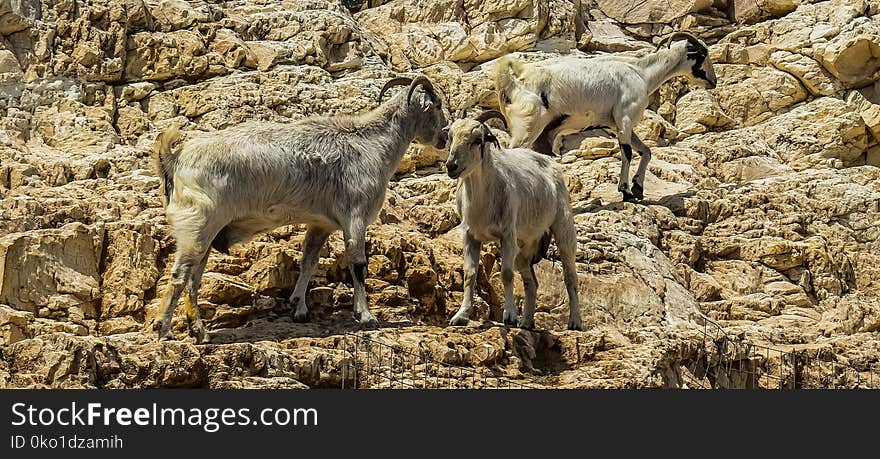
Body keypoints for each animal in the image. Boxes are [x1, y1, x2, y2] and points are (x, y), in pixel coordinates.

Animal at [150, 76, 446, 342]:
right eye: (438, 105)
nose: (444, 138)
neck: (371, 144)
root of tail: (175, 158)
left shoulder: (321, 224)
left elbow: (309, 261)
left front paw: (299, 308)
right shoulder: (355, 216)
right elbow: (358, 265)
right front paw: (366, 316)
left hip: (207, 233)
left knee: (194, 278)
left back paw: (197, 331)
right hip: (197, 225)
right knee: (180, 274)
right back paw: (165, 329)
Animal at [496, 31, 716, 203]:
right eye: (702, 54)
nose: (714, 81)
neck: (642, 73)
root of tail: (512, 82)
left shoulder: (616, 123)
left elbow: (646, 151)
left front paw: (638, 188)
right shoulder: (625, 117)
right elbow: (627, 152)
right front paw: (626, 192)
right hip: (527, 128)